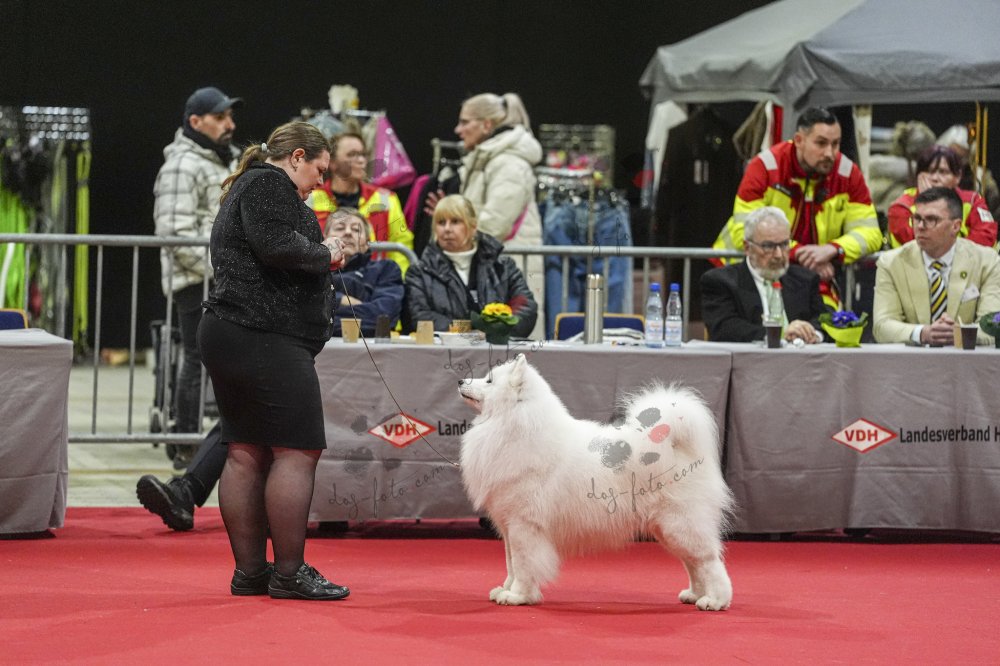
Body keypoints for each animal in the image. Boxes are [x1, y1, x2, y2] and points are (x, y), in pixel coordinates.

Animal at [458, 354, 733, 610]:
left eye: (489, 380)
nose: (460, 381)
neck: (513, 425)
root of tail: (677, 446)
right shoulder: (507, 525)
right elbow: (511, 563)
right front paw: (505, 589)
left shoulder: (523, 525)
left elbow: (523, 564)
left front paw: (518, 596)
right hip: (667, 530)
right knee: (693, 563)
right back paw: (695, 595)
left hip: (681, 524)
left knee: (709, 561)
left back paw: (715, 600)